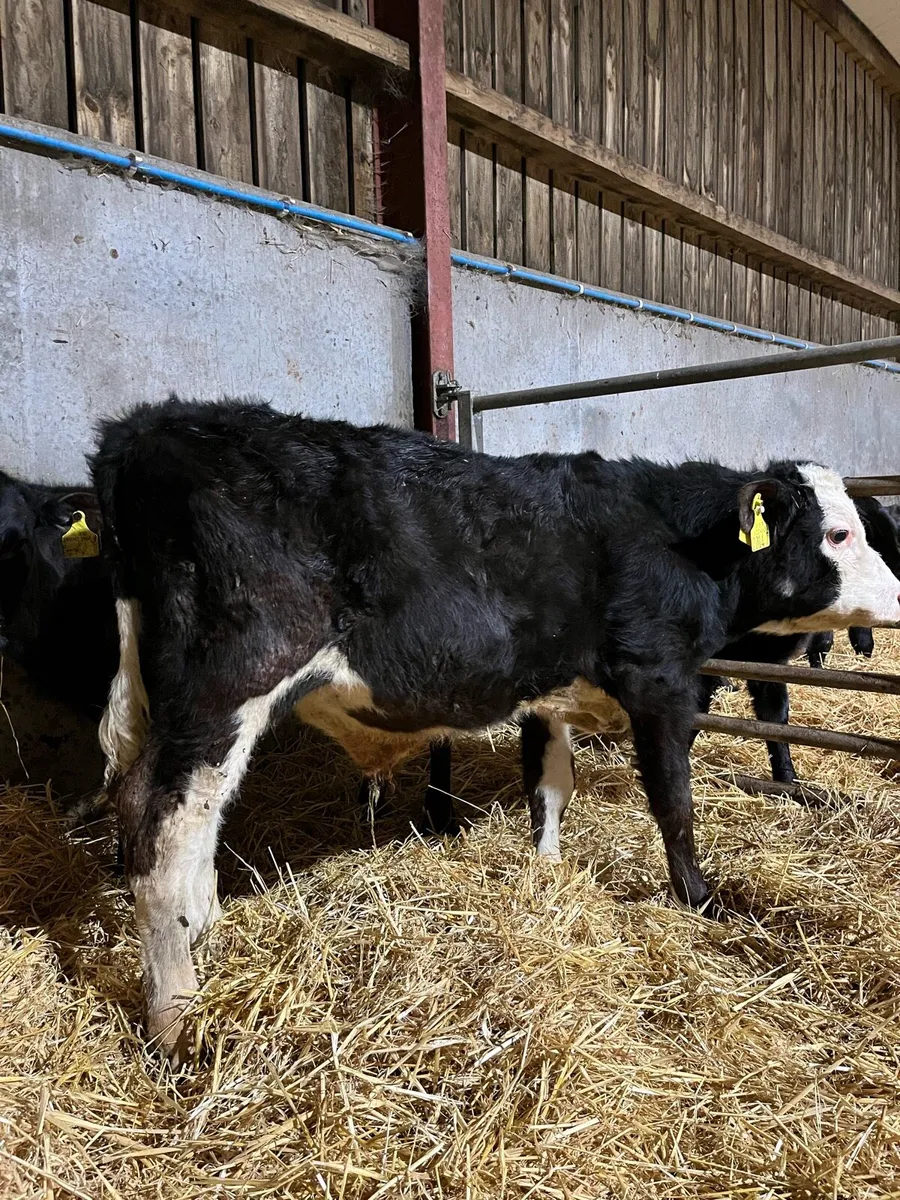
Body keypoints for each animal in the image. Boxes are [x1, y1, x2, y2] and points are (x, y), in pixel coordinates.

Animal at [91, 397, 900, 1060]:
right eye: (838, 534)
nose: (898, 592)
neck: (678, 540)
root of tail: (148, 427)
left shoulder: (547, 690)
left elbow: (549, 785)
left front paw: (545, 871)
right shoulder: (661, 679)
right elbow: (674, 800)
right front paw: (701, 900)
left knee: (188, 825)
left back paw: (209, 935)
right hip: (226, 685)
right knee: (160, 829)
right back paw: (176, 1020)